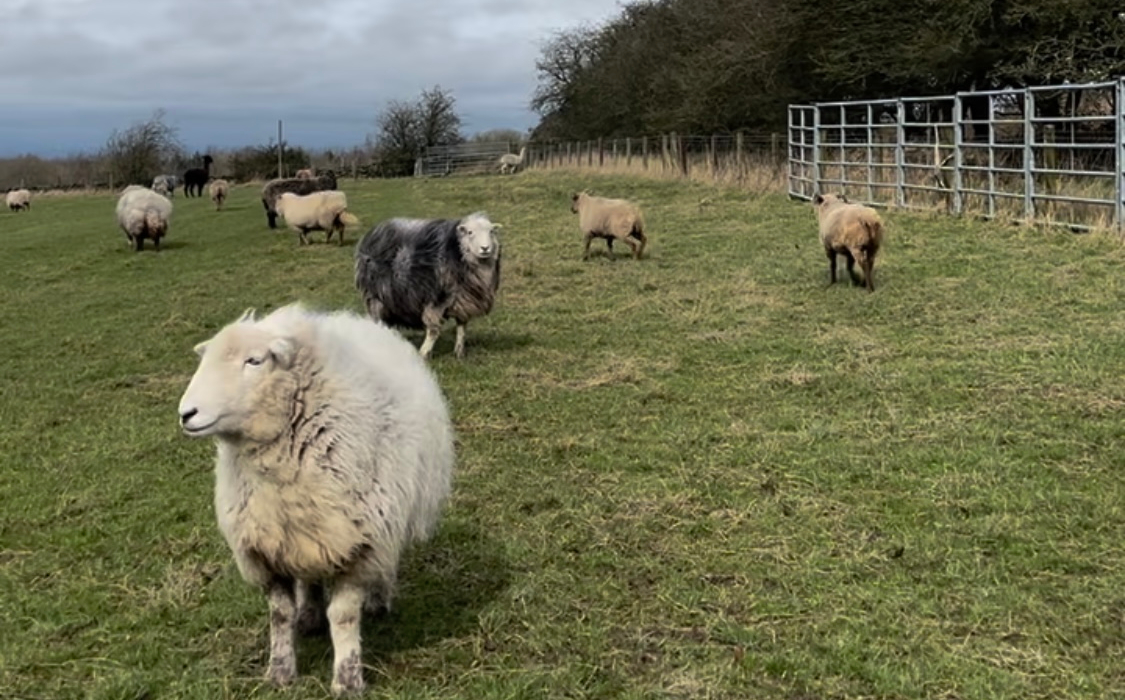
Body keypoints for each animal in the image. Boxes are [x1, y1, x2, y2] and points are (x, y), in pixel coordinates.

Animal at [175, 303, 452, 697]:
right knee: (309, 576)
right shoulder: (266, 547)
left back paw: (379, 600)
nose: (187, 414)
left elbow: (344, 615)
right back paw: (309, 615)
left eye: (254, 361)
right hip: (306, 532)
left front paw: (347, 680)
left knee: (385, 562)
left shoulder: (359, 544)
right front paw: (279, 671)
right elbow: (279, 615)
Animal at [357, 211, 504, 360]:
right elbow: (433, 330)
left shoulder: (463, 301)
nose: (485, 248)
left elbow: (462, 328)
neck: (458, 253)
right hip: (375, 294)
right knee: (376, 318)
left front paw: (459, 352)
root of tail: (376, 229)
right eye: (470, 232)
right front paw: (423, 354)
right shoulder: (436, 300)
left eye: (491, 232)